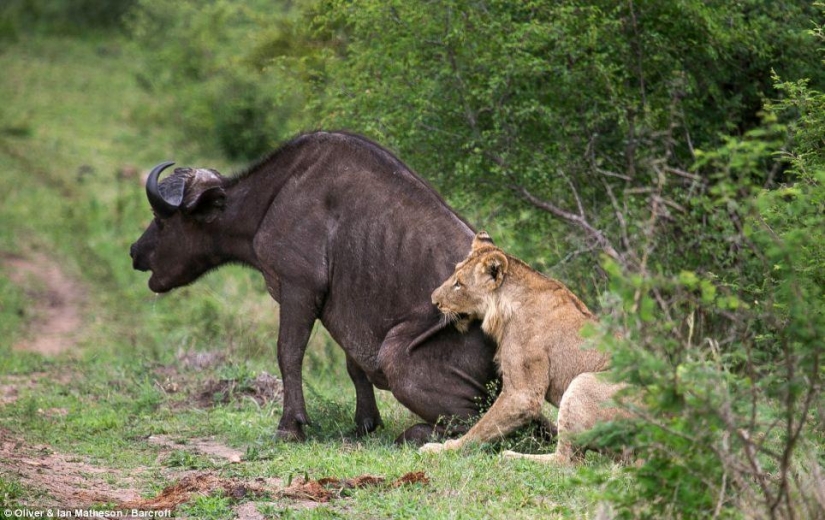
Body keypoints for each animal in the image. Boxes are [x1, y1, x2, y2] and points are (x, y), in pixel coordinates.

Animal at [130, 131, 498, 443]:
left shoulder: (298, 289)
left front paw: (290, 426)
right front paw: (364, 423)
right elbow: (354, 365)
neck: (272, 198)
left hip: (396, 355)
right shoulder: (347, 307)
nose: (135, 251)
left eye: (161, 219)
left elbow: (288, 353)